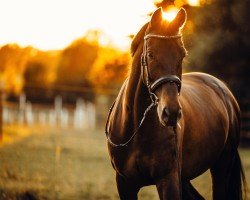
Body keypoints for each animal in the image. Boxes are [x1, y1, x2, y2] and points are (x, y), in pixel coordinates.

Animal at [104, 7, 247, 199]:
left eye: (182, 55)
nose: (171, 113)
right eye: (150, 54)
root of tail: (222, 88)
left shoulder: (168, 180)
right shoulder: (125, 184)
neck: (136, 129)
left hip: (222, 165)